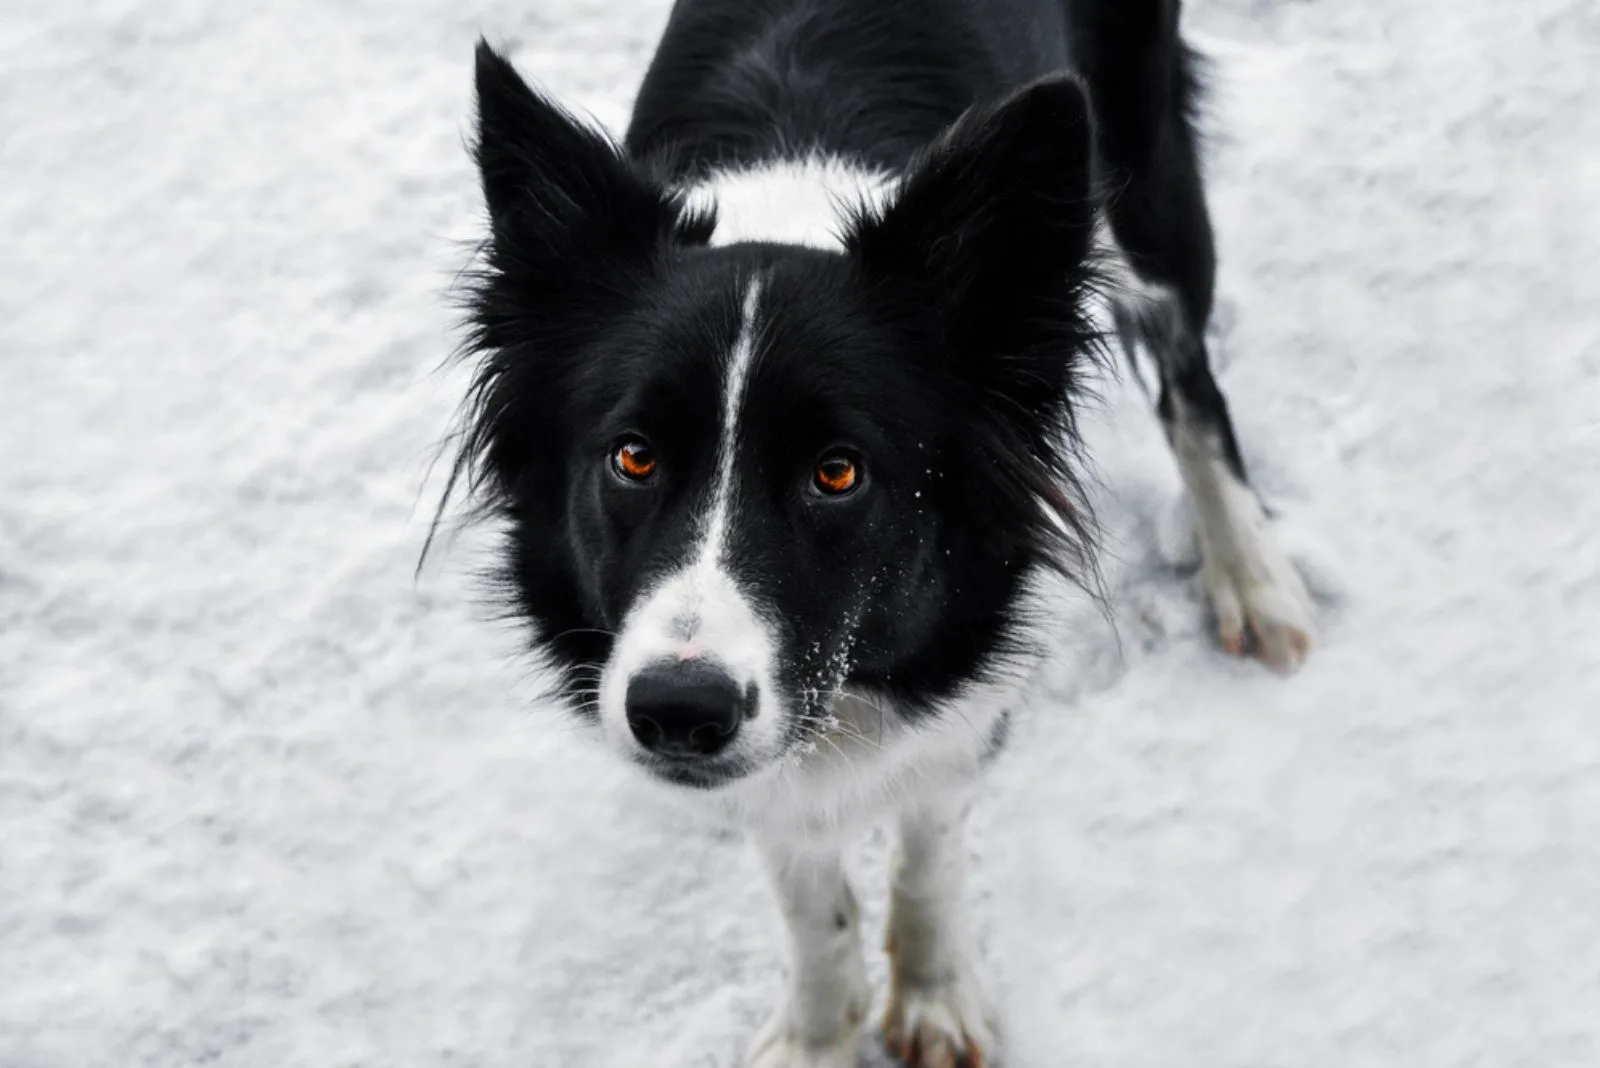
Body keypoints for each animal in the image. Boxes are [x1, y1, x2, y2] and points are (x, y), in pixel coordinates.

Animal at [448, 0, 1312, 1061]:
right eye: (633, 458)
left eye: (838, 472)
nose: (679, 712)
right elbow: (803, 883)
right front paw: (822, 1030)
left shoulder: (966, 657)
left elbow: (930, 838)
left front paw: (934, 994)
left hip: (1144, 172)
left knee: (1190, 378)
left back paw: (1251, 574)